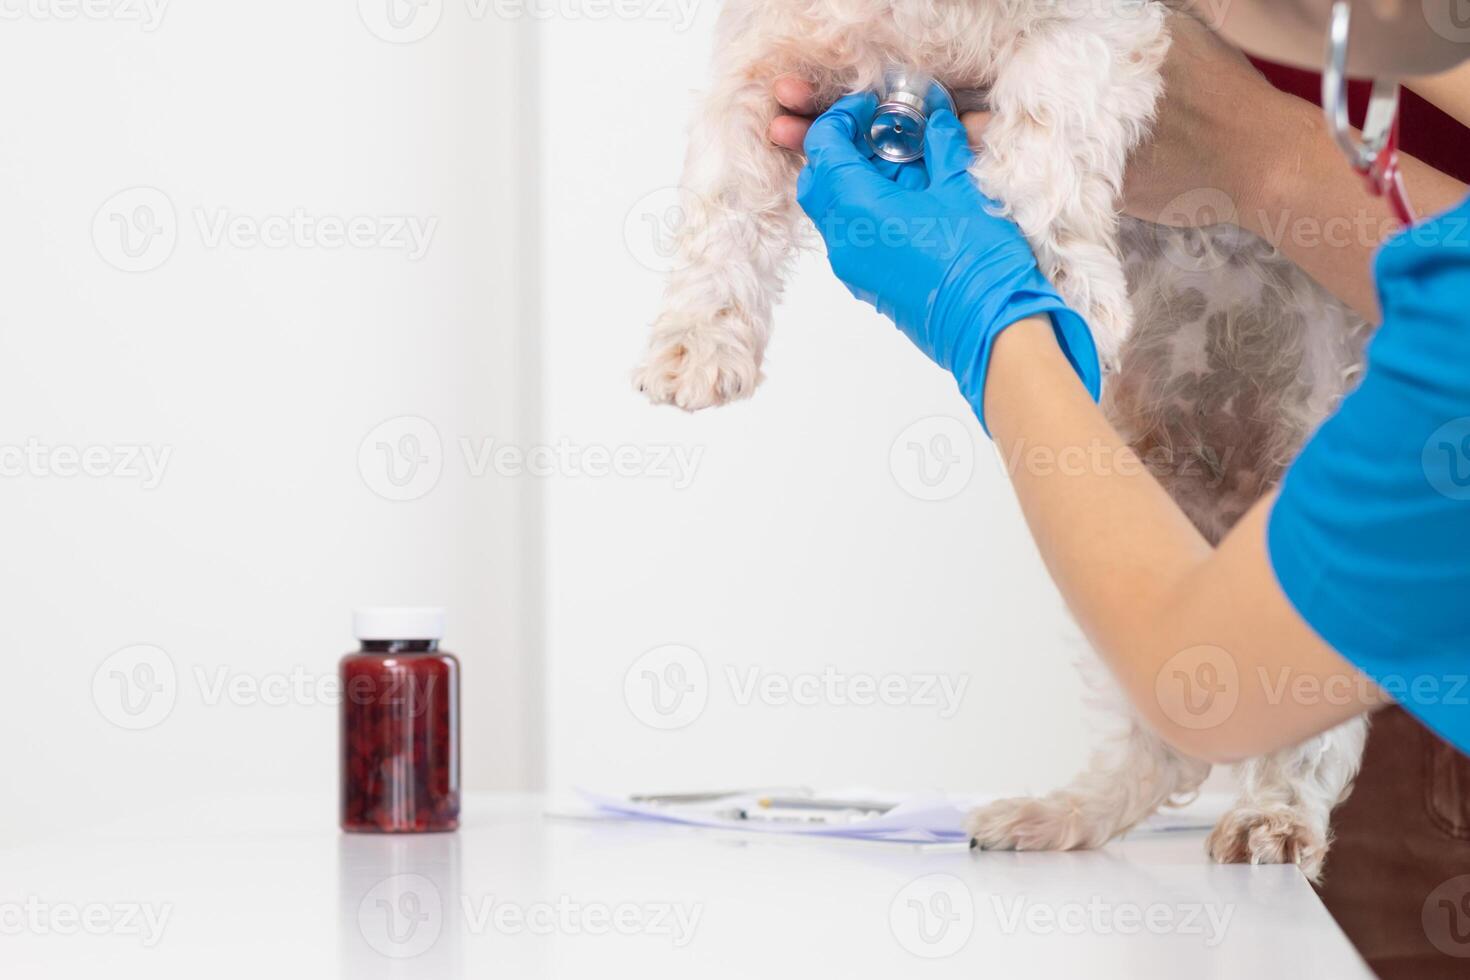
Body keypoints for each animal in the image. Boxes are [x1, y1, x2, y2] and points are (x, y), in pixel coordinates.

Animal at [637, 0, 1370, 875]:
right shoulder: (763, 60)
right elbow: (722, 201)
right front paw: (695, 340)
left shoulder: (1091, 34)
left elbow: (1046, 140)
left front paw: (1051, 284)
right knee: (1169, 734)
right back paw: (1061, 815)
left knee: (1300, 738)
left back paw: (1274, 818)